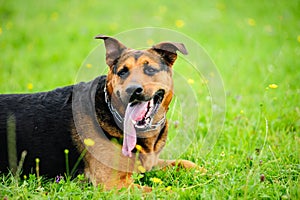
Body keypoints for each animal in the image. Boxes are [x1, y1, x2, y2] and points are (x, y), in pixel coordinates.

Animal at [0, 34, 197, 191]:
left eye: (149, 69)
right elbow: (166, 191)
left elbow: (185, 162)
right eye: (123, 72)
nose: (132, 90)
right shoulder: (115, 184)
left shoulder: (149, 164)